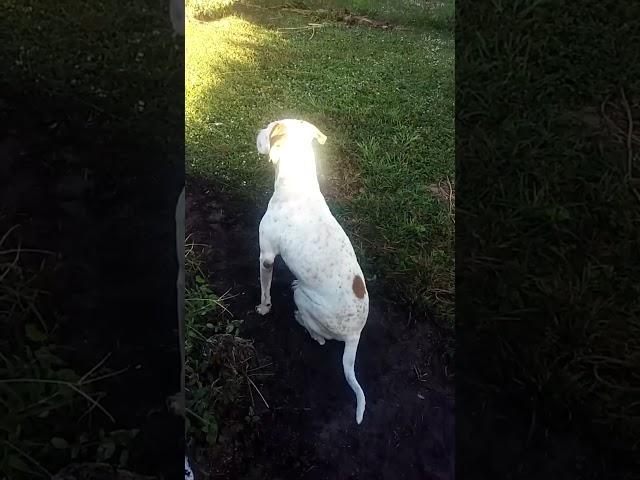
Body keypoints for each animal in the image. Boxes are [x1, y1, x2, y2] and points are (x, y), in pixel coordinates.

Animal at [252, 119, 368, 424]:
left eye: (271, 128)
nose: (257, 130)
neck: (297, 184)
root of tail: (355, 334)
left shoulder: (266, 257)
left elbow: (265, 289)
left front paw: (263, 308)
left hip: (306, 301)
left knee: (320, 338)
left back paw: (301, 320)